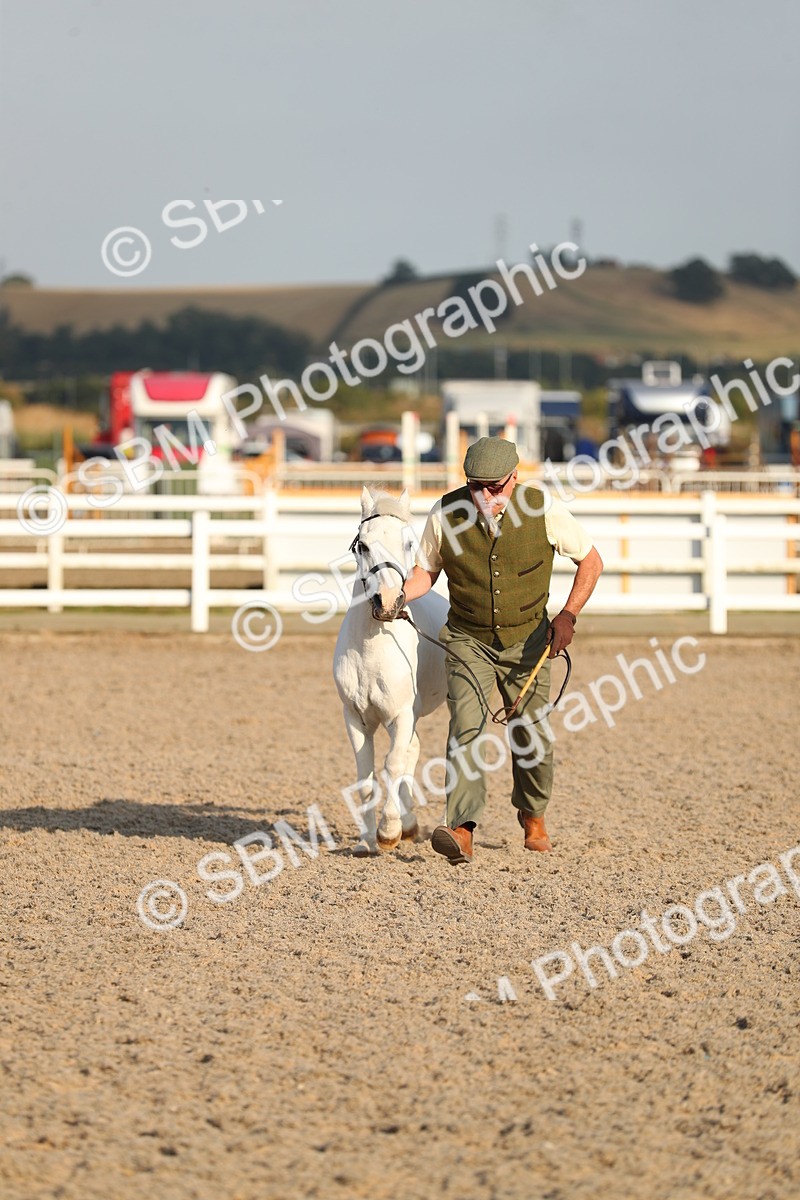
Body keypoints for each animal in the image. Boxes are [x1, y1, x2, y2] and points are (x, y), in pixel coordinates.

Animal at [333, 486, 448, 856]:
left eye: (409, 542)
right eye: (363, 545)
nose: (387, 602)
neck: (372, 651)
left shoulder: (400, 715)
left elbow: (392, 765)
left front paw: (388, 832)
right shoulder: (355, 719)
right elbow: (366, 779)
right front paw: (366, 840)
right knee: (413, 750)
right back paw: (410, 823)